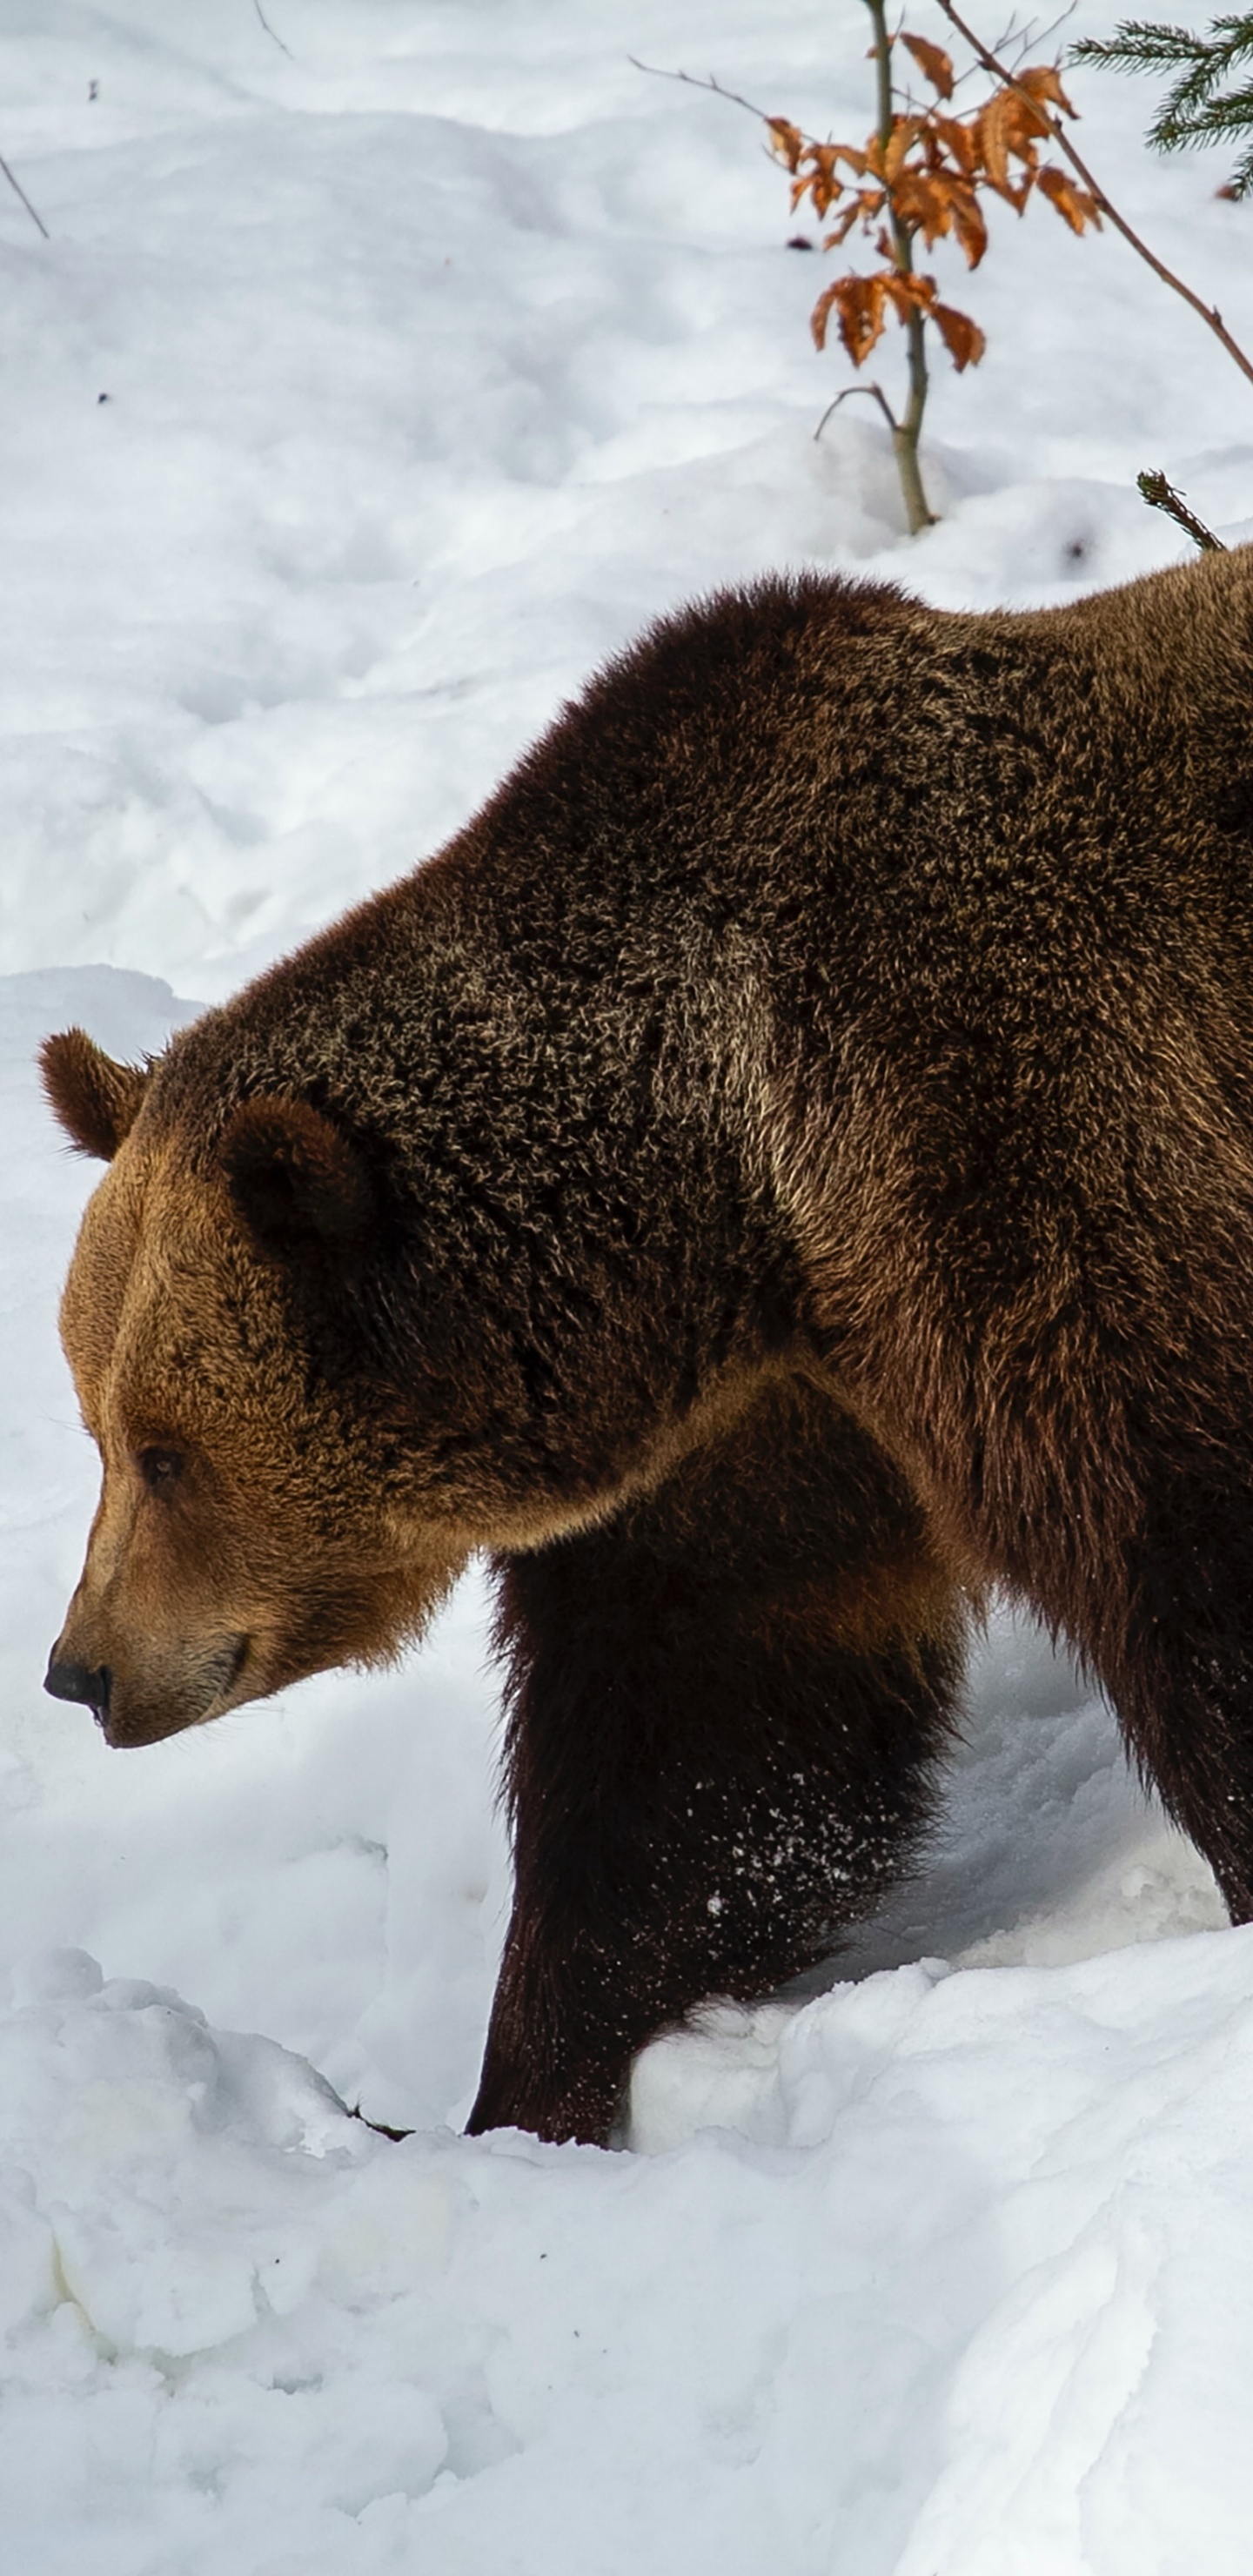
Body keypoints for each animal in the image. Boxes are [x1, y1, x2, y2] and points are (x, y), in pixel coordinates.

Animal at [38, 543, 1253, 2147]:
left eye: (169, 1451)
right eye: (98, 1429)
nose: (80, 1667)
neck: (732, 1184)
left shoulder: (1023, 1136)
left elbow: (1183, 1527)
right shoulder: (766, 1413)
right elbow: (715, 1736)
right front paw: (520, 2091)